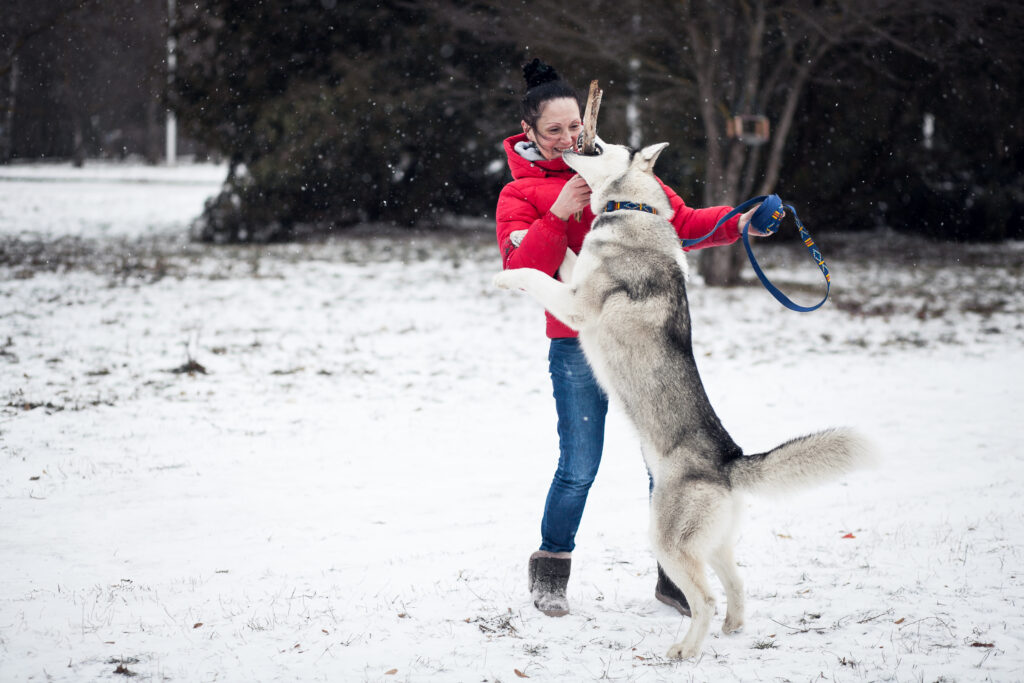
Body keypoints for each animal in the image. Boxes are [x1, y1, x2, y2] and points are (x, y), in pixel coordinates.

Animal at [493, 137, 872, 655]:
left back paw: (685, 650)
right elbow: (563, 255)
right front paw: (520, 239)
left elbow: (537, 276)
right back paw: (733, 627)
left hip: (667, 540)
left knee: (706, 599)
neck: (631, 208)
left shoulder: (576, 304)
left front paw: (507, 275)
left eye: (602, 146)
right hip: (712, 543)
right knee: (736, 583)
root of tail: (730, 461)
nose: (578, 142)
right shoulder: (576, 278)